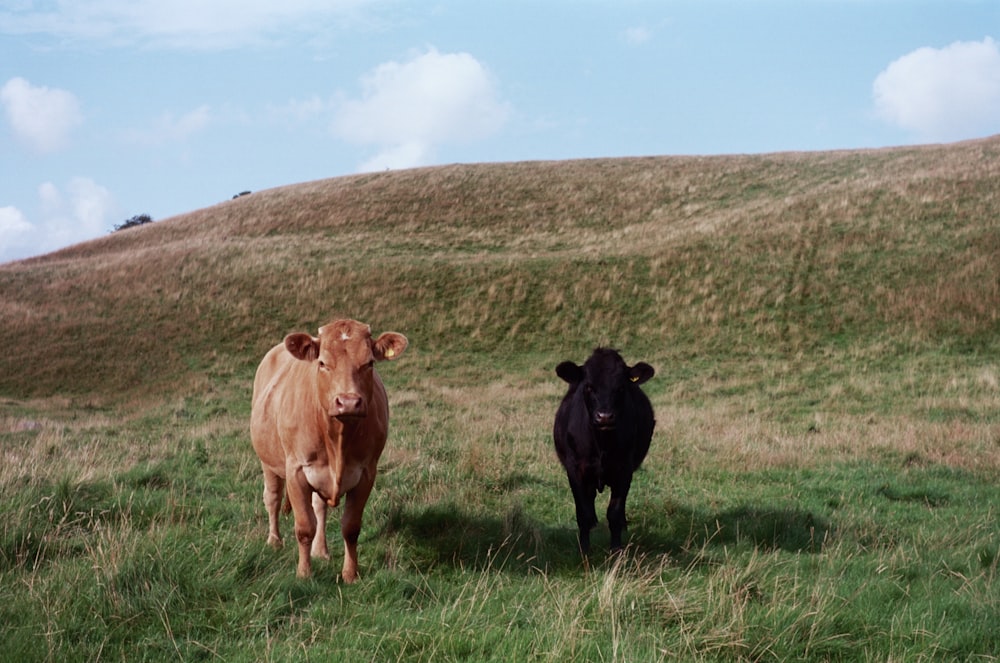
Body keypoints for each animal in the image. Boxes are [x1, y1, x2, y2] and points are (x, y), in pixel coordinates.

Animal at [250, 320, 406, 584]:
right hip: (268, 462)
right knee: (272, 498)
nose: (348, 401)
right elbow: (304, 527)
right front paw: (304, 573)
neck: (338, 440)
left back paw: (320, 550)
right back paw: (274, 540)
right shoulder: (296, 471)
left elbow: (350, 528)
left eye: (369, 363)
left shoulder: (366, 473)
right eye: (322, 363)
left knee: (319, 508)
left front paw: (350, 574)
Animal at [552, 348, 652, 556]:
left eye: (621, 387)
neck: (601, 444)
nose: (604, 417)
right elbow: (582, 512)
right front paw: (585, 550)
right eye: (589, 386)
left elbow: (614, 512)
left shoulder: (624, 469)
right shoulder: (575, 469)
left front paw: (616, 550)